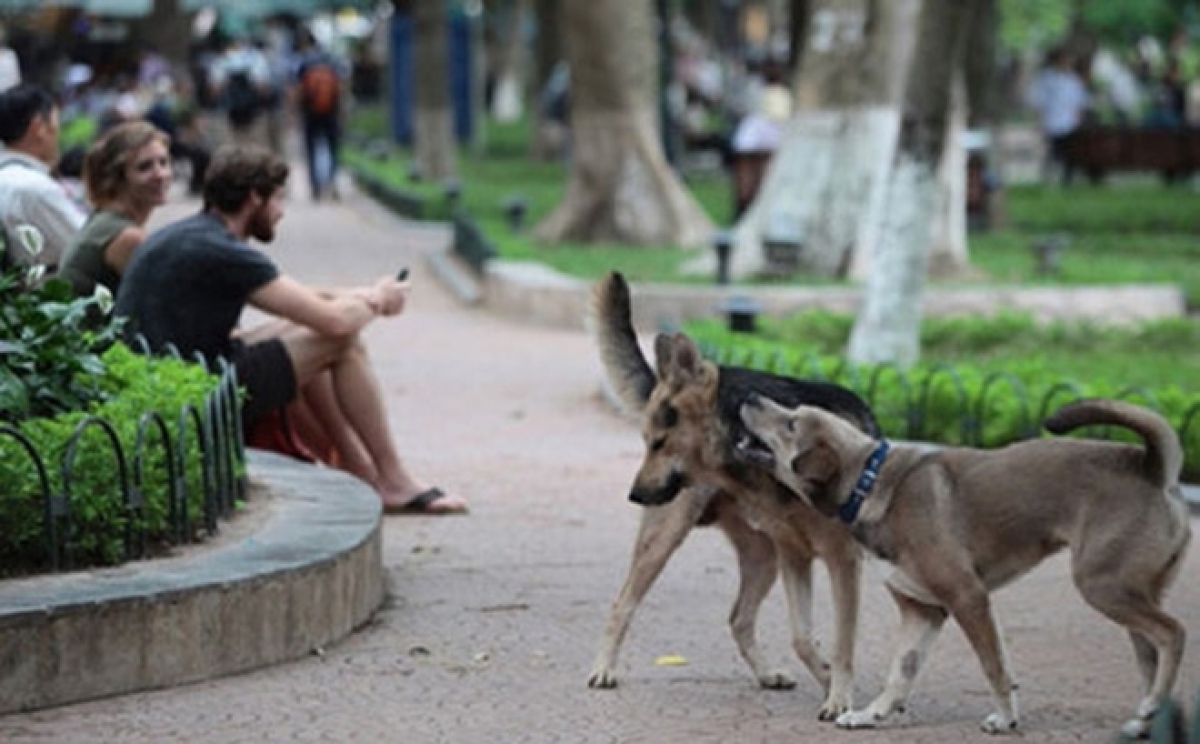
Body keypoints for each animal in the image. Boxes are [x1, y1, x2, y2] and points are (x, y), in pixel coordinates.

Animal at [590, 270, 883, 720]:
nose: (634, 495)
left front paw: (836, 691)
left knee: (739, 618)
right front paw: (834, 687)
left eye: (658, 443)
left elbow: (834, 640)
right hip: (666, 542)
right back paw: (604, 667)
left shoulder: (838, 560)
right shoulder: (799, 557)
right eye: (645, 442)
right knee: (623, 603)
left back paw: (767, 673)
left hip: (764, 557)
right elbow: (805, 638)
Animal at [729, 391, 1190, 734]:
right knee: (1151, 651)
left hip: (1103, 586)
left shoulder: (968, 598)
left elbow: (993, 666)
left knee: (1174, 634)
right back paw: (1145, 719)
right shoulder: (923, 611)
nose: (749, 395)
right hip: (1126, 595)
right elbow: (901, 670)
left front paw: (1006, 718)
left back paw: (1152, 703)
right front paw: (872, 713)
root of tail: (1151, 467)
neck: (871, 480)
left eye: (791, 423)